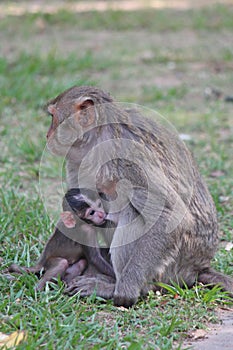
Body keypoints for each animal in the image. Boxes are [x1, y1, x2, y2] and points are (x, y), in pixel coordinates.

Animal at [45, 86, 233, 308]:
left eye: (53, 117)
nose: (48, 135)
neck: (99, 136)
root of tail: (199, 267)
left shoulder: (128, 155)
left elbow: (169, 214)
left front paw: (124, 292)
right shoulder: (77, 160)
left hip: (170, 269)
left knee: (130, 211)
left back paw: (119, 288)